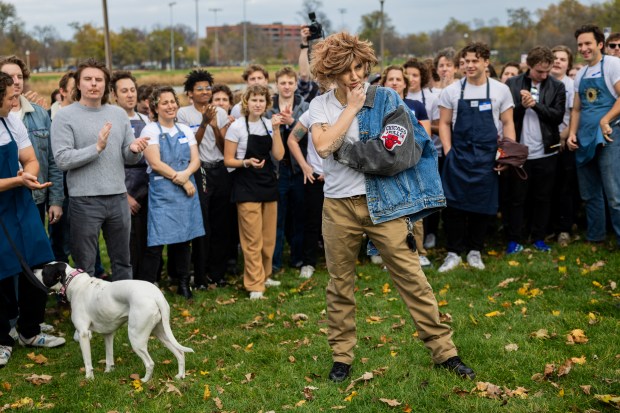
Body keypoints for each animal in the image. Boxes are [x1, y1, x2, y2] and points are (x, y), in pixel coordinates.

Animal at [35, 262, 193, 382]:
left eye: (44, 271)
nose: (34, 269)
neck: (74, 282)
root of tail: (156, 295)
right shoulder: (108, 334)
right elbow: (109, 357)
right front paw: (108, 372)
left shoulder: (83, 334)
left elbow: (88, 362)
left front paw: (89, 378)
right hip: (161, 332)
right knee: (180, 353)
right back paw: (180, 376)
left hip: (136, 338)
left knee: (150, 363)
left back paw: (143, 381)